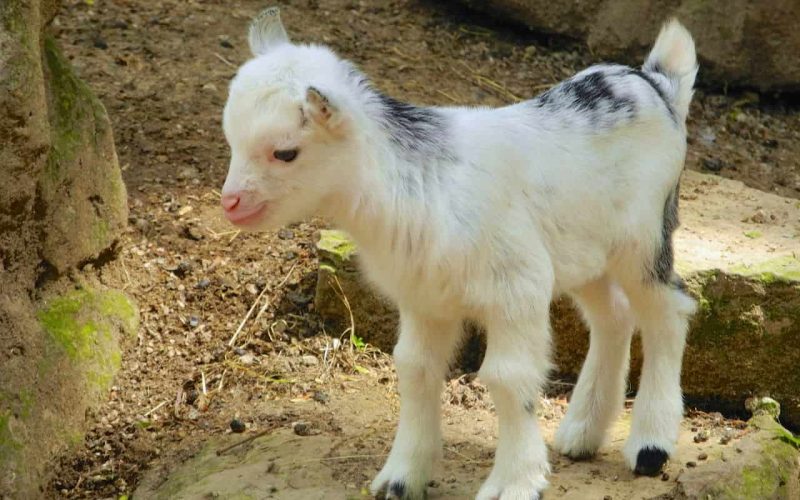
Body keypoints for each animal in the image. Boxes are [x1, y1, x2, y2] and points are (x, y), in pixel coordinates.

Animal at [220, 7, 698, 499]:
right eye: (232, 140)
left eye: (285, 153)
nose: (230, 203)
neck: (416, 182)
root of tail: (657, 84)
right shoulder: (425, 298)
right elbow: (414, 368)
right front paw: (400, 478)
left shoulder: (517, 287)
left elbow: (507, 378)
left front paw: (514, 482)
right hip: (585, 254)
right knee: (613, 317)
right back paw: (581, 432)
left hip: (644, 239)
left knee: (669, 310)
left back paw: (650, 445)